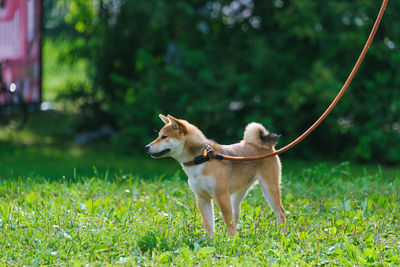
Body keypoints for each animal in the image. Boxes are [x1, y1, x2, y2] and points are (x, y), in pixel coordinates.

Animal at [144, 115, 284, 237]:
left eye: (164, 137)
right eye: (159, 136)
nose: (146, 147)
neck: (200, 160)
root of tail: (267, 146)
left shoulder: (221, 195)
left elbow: (227, 221)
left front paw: (231, 240)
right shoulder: (202, 197)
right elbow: (208, 223)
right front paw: (208, 240)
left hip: (268, 188)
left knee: (280, 212)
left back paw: (281, 234)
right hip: (237, 195)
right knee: (236, 215)